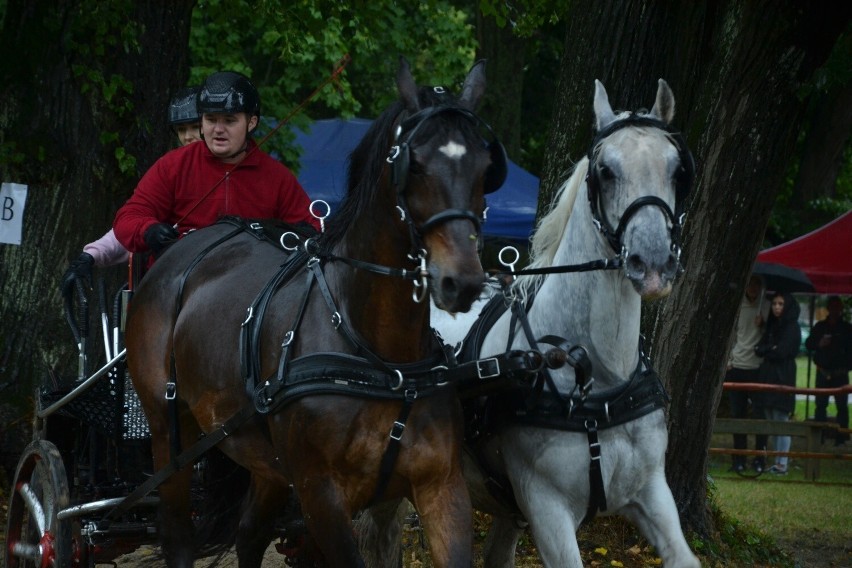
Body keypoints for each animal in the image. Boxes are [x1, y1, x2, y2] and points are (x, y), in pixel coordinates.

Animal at [126, 58, 506, 568]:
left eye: (486, 168)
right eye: (415, 163)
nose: (461, 281)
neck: (382, 358)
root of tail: (185, 247)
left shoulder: (442, 488)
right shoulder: (321, 498)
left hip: (262, 457)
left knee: (250, 533)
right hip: (171, 435)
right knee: (178, 536)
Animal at [430, 79, 704, 568]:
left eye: (677, 170)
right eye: (605, 171)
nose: (653, 262)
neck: (598, 379)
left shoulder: (652, 492)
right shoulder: (548, 508)